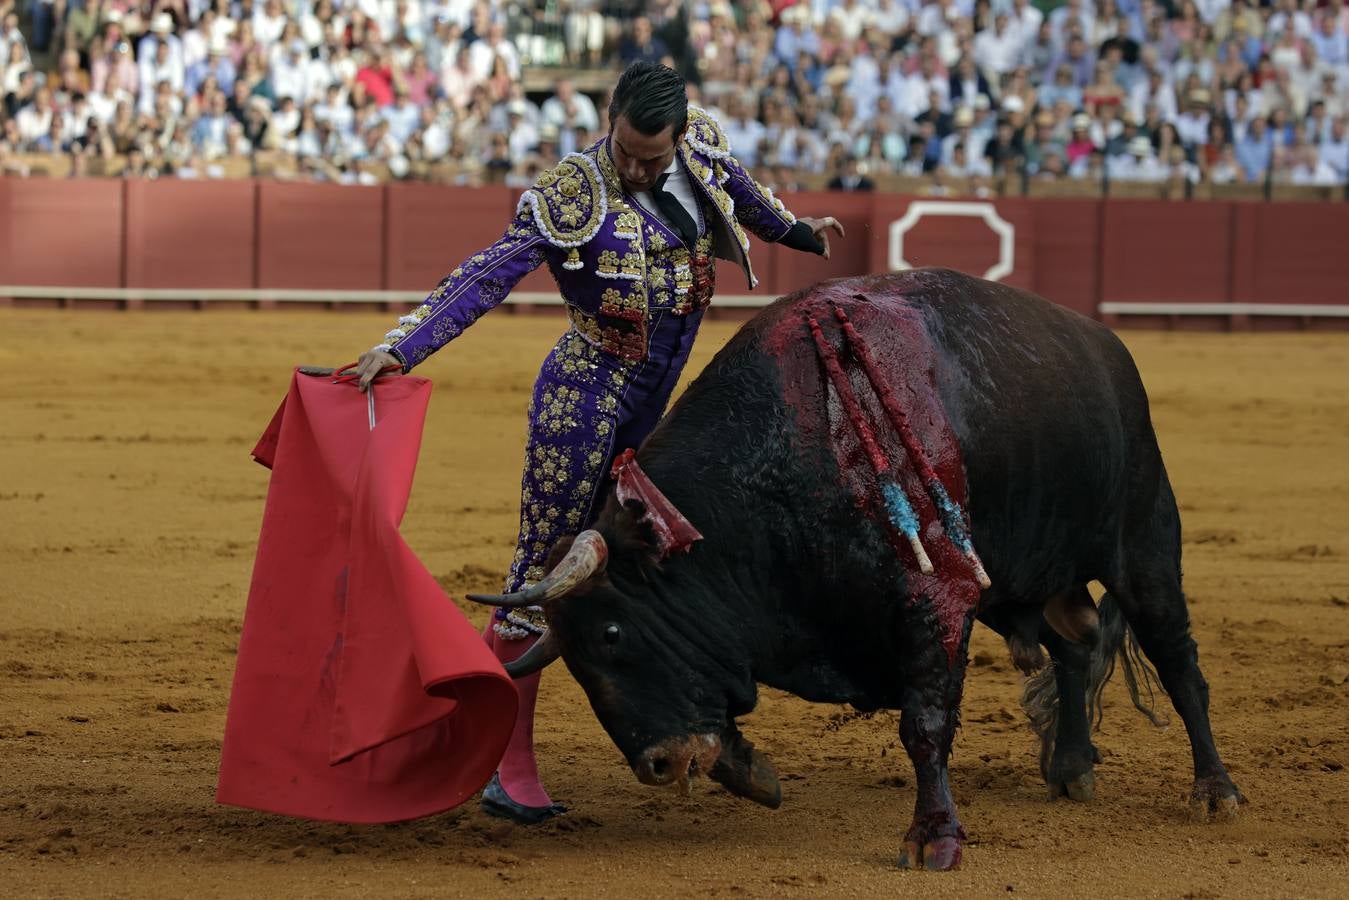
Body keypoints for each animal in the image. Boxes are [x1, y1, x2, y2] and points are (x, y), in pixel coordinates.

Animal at [466, 269, 1241, 874]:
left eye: (613, 635)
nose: (655, 766)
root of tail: (1106, 346)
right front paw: (751, 770)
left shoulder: (938, 599)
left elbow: (925, 723)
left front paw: (934, 839)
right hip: (1022, 579)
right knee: (1075, 645)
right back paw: (1073, 768)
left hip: (1144, 542)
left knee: (1178, 663)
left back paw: (1215, 792)